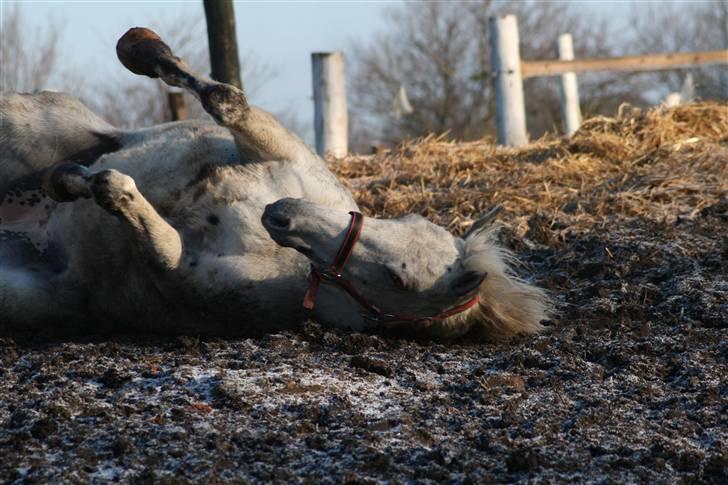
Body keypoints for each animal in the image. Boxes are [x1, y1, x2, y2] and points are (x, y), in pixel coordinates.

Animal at [0, 26, 544, 336]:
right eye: (406, 220)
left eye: (399, 280)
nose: (283, 212)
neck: (293, 262)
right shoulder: (278, 155)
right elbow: (224, 100)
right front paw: (146, 50)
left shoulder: (180, 272)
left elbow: (129, 207)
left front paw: (95, 183)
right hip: (29, 121)